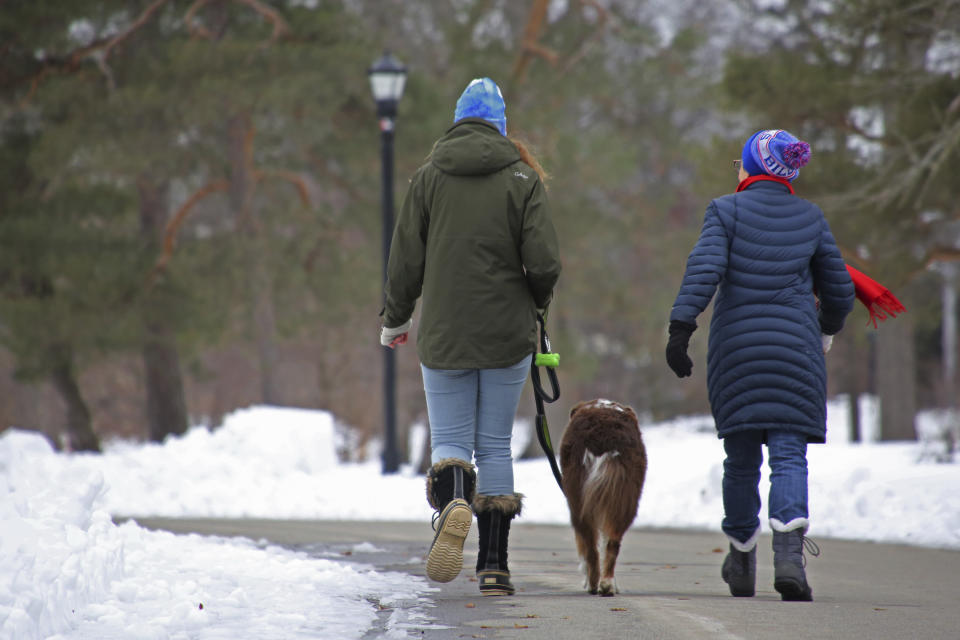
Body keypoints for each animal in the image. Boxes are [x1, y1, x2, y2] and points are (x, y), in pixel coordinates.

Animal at [560, 398, 648, 596]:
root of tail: (605, 437)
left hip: (578, 501)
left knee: (591, 547)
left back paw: (594, 584)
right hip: (624, 498)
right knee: (612, 542)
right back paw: (607, 584)